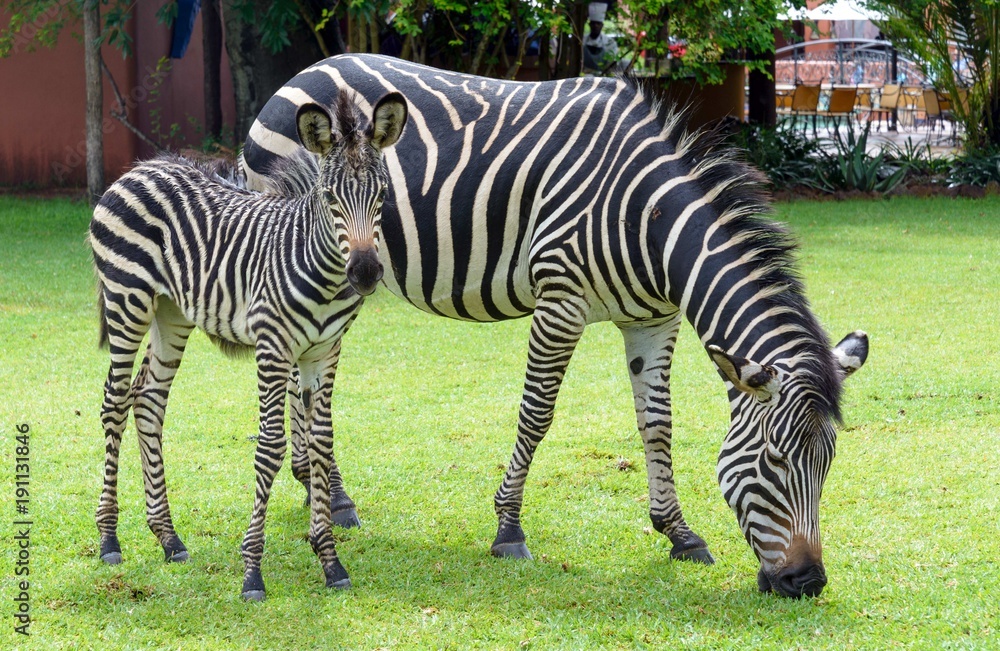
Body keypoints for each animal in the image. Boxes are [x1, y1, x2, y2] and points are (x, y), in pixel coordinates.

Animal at [88, 91, 407, 601]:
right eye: (329, 198)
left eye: (381, 196)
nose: (364, 273)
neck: (318, 265)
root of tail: (140, 169)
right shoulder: (273, 347)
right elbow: (272, 446)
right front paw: (252, 571)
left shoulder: (324, 351)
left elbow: (320, 442)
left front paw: (330, 561)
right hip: (127, 300)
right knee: (114, 402)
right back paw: (108, 539)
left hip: (171, 312)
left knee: (149, 401)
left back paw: (168, 537)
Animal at [241, 54, 869, 598]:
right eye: (774, 463)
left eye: (827, 465)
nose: (808, 583)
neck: (648, 219)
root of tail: (303, 73)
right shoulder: (560, 303)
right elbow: (537, 415)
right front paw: (508, 530)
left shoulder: (654, 320)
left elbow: (657, 425)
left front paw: (678, 532)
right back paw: (330, 494)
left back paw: (317, 487)